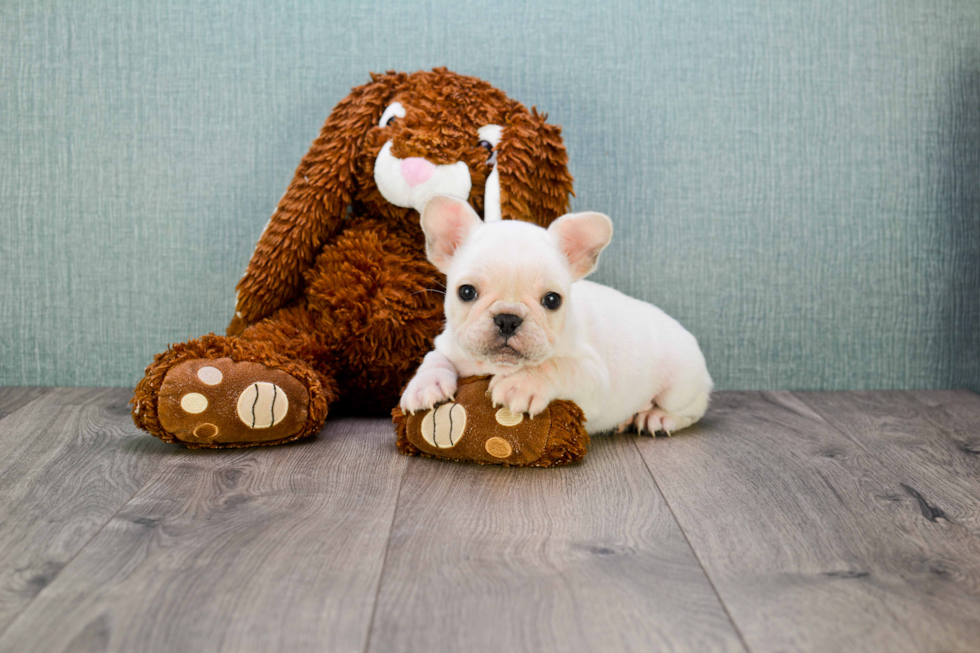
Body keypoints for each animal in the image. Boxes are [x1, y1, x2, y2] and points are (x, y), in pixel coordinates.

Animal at [398, 196, 712, 436]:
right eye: (466, 292)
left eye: (552, 300)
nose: (508, 318)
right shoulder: (448, 344)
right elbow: (434, 358)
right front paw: (425, 384)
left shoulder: (593, 376)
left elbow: (557, 366)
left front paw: (522, 383)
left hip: (680, 386)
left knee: (691, 411)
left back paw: (656, 417)